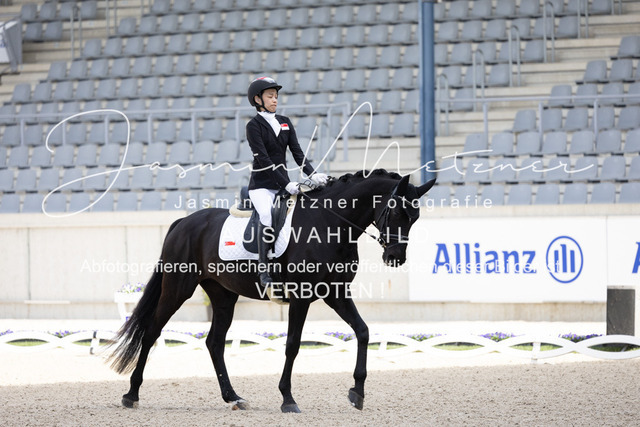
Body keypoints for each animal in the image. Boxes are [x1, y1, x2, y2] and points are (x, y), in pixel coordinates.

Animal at [107, 169, 436, 413]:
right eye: (396, 212)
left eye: (415, 218)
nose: (395, 258)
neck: (329, 224)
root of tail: (183, 222)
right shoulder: (301, 297)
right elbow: (292, 344)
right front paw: (288, 400)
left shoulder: (335, 292)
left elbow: (363, 331)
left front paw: (357, 392)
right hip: (178, 288)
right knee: (152, 331)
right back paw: (131, 395)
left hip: (223, 295)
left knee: (214, 342)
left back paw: (233, 397)